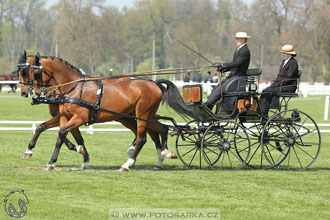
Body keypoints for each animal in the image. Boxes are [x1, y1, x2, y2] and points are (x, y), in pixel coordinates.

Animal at [31, 54, 201, 171]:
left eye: (36, 72)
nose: (35, 93)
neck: (75, 88)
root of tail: (153, 83)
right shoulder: (65, 117)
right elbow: (63, 135)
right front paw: (75, 159)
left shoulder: (79, 118)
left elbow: (62, 134)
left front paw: (51, 161)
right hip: (144, 116)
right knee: (161, 129)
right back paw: (161, 158)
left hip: (142, 114)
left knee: (143, 137)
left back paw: (128, 164)